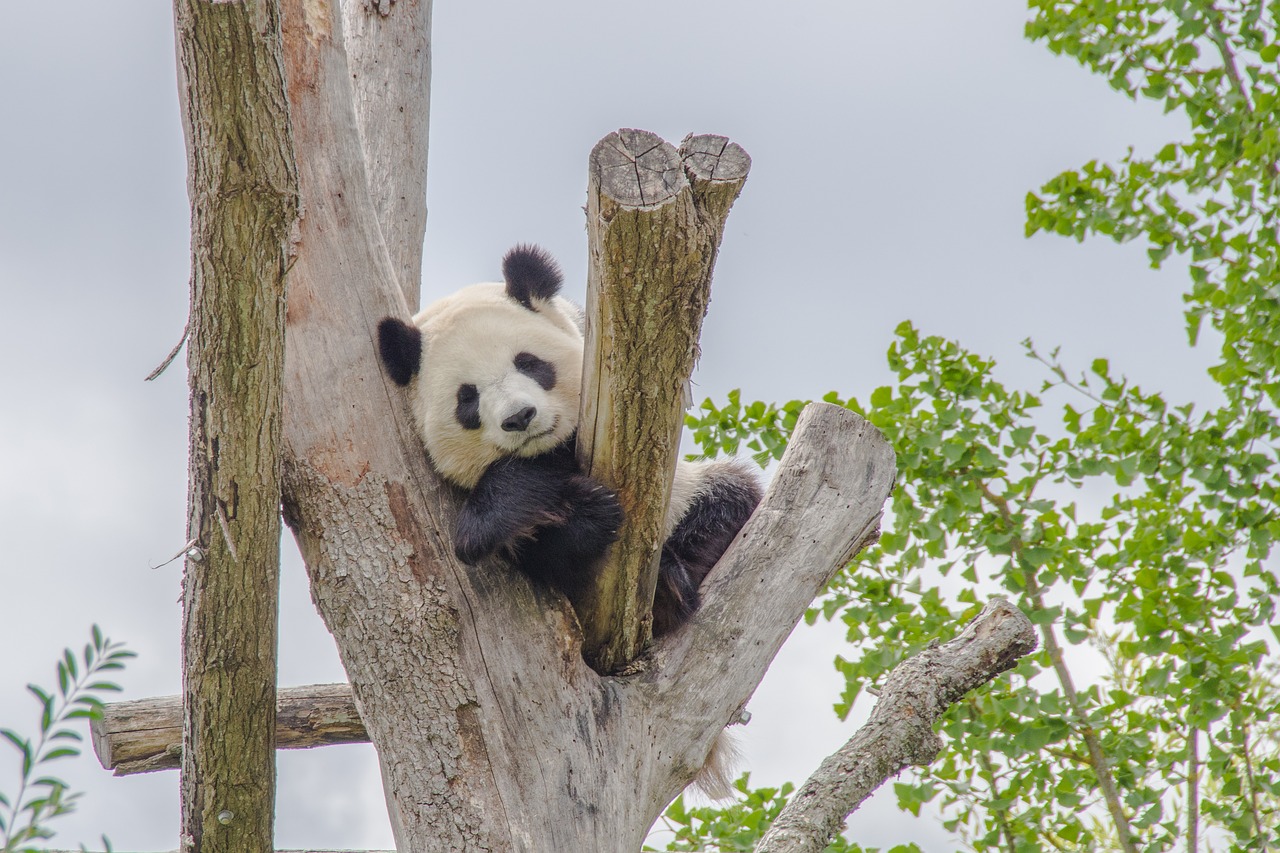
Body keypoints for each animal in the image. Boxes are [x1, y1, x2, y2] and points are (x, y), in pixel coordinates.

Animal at [376, 244, 757, 788]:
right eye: (467, 398)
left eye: (530, 363)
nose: (519, 417)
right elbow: (515, 541)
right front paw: (572, 513)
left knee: (730, 497)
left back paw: (667, 588)